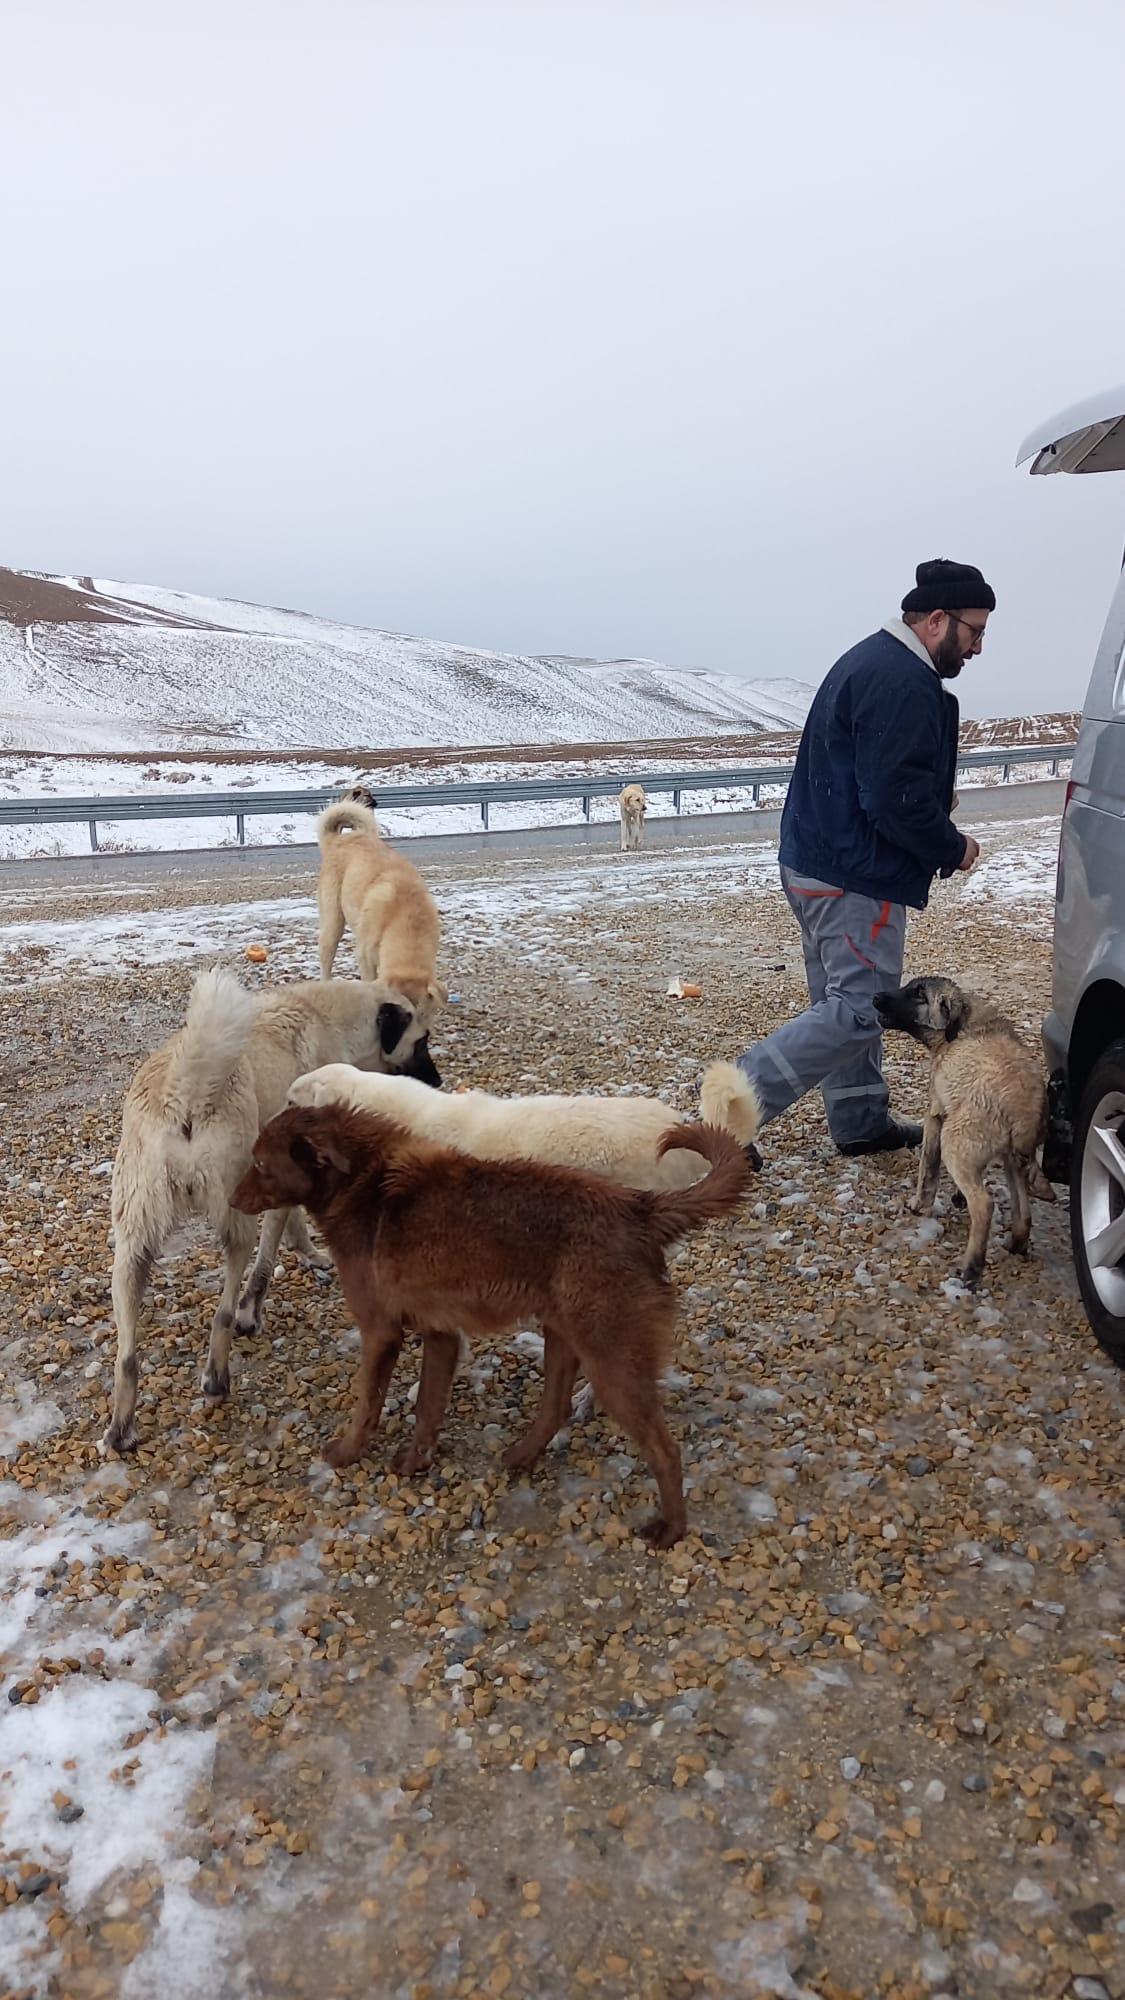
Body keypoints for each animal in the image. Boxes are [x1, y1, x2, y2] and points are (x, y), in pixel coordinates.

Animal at [232, 1112, 748, 1544]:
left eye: (259, 1162)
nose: (232, 1200)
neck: (362, 1184)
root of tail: (641, 1210)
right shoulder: (440, 1332)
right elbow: (427, 1409)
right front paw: (415, 1462)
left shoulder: (380, 1332)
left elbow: (367, 1406)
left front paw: (345, 1454)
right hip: (565, 1335)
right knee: (556, 1408)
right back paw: (520, 1458)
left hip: (612, 1359)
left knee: (664, 1450)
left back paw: (672, 1530)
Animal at [868, 980, 1048, 1288]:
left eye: (918, 994)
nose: (876, 996)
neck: (962, 1023)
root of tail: (1024, 1106)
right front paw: (955, 1197)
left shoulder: (936, 1116)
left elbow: (927, 1169)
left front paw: (918, 1205)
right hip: (1011, 1158)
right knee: (1023, 1212)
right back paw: (1016, 1245)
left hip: (954, 1139)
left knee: (984, 1205)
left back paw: (971, 1267)